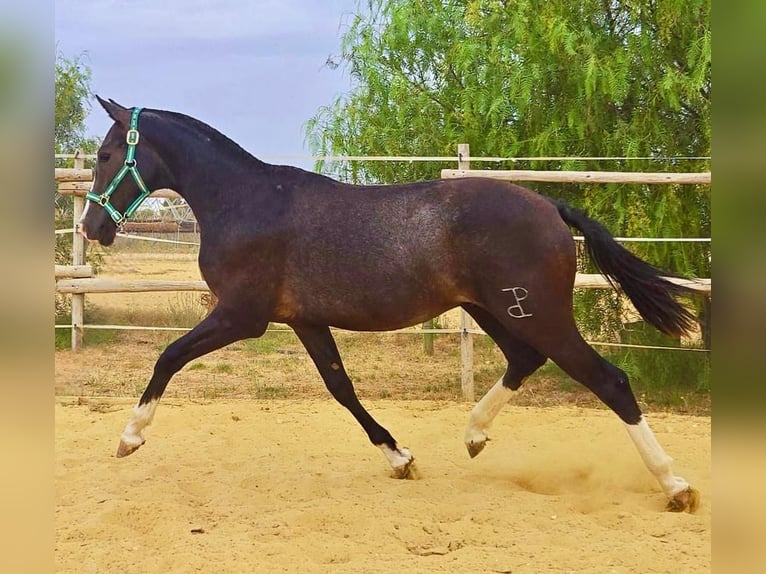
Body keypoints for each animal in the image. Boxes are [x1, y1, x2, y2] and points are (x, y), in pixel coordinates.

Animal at [79, 96, 700, 512]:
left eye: (107, 154)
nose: (91, 228)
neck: (244, 202)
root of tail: (550, 206)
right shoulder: (304, 321)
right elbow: (340, 387)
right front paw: (400, 459)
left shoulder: (241, 315)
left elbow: (168, 356)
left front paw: (129, 439)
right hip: (495, 310)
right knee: (525, 360)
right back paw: (473, 436)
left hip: (537, 313)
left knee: (609, 380)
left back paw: (676, 486)